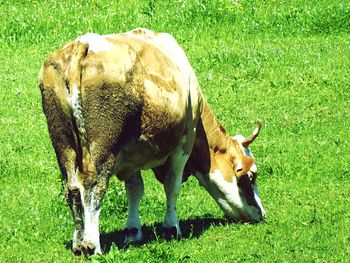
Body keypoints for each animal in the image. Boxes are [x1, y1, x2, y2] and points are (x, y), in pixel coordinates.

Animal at [39, 28, 266, 256]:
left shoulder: (129, 155)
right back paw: (92, 244)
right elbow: (172, 185)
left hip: (62, 143)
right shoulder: (183, 144)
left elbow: (135, 189)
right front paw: (171, 228)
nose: (262, 214)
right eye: (251, 176)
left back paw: (78, 243)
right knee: (94, 187)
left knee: (73, 189)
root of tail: (83, 44)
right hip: (102, 149)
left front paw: (132, 231)